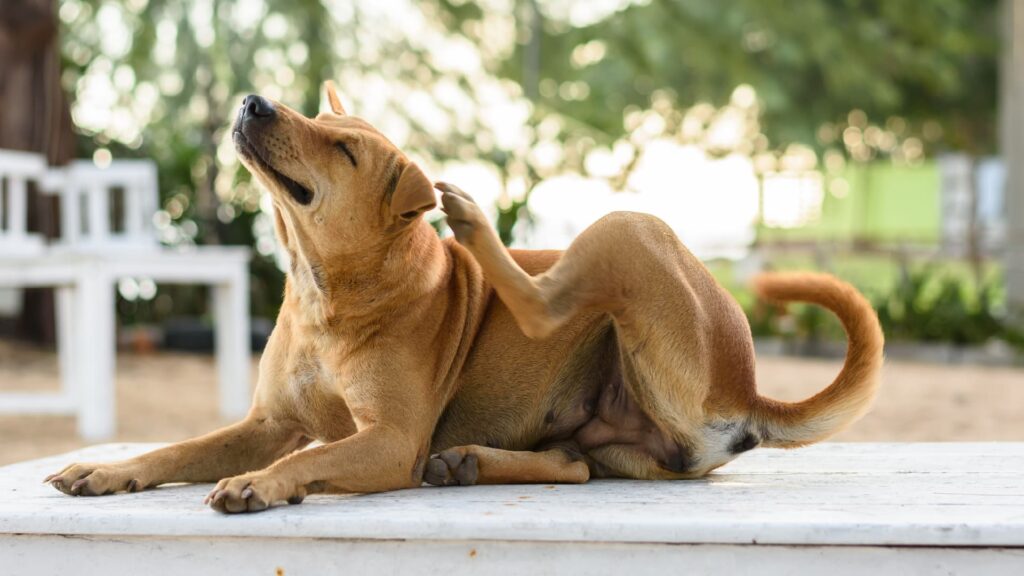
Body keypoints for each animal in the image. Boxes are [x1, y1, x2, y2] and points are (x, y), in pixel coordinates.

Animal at [44, 81, 884, 510]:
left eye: (343, 148)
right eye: (316, 116)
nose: (255, 101)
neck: (327, 293)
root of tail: (746, 385)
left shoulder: (390, 440)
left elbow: (308, 459)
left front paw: (259, 483)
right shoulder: (268, 423)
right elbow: (178, 449)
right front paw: (109, 470)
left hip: (629, 230)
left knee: (546, 302)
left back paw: (475, 224)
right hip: (615, 440)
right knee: (574, 465)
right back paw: (472, 462)